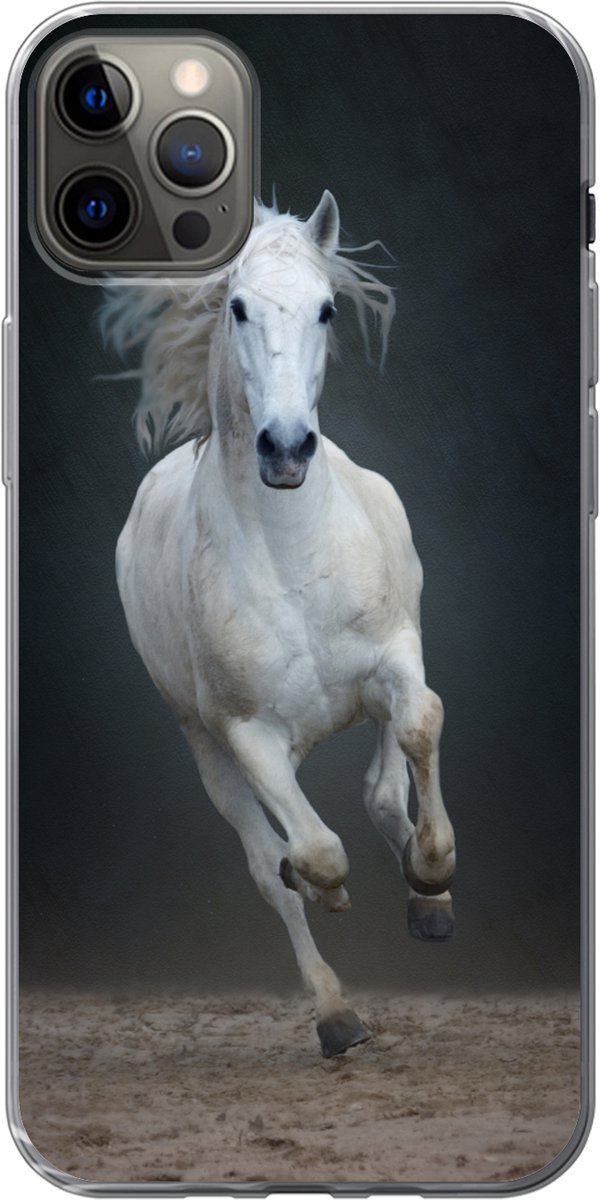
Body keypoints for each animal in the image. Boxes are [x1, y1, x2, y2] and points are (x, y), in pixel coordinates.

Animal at [100, 191, 456, 1058]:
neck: (293, 556)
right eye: (237, 308)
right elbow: (313, 854)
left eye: (326, 308)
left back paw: (426, 900)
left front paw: (432, 875)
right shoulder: (246, 734)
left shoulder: (395, 657)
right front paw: (328, 894)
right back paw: (336, 1016)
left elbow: (420, 726)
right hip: (206, 743)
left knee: (383, 787)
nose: (287, 447)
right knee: (271, 864)